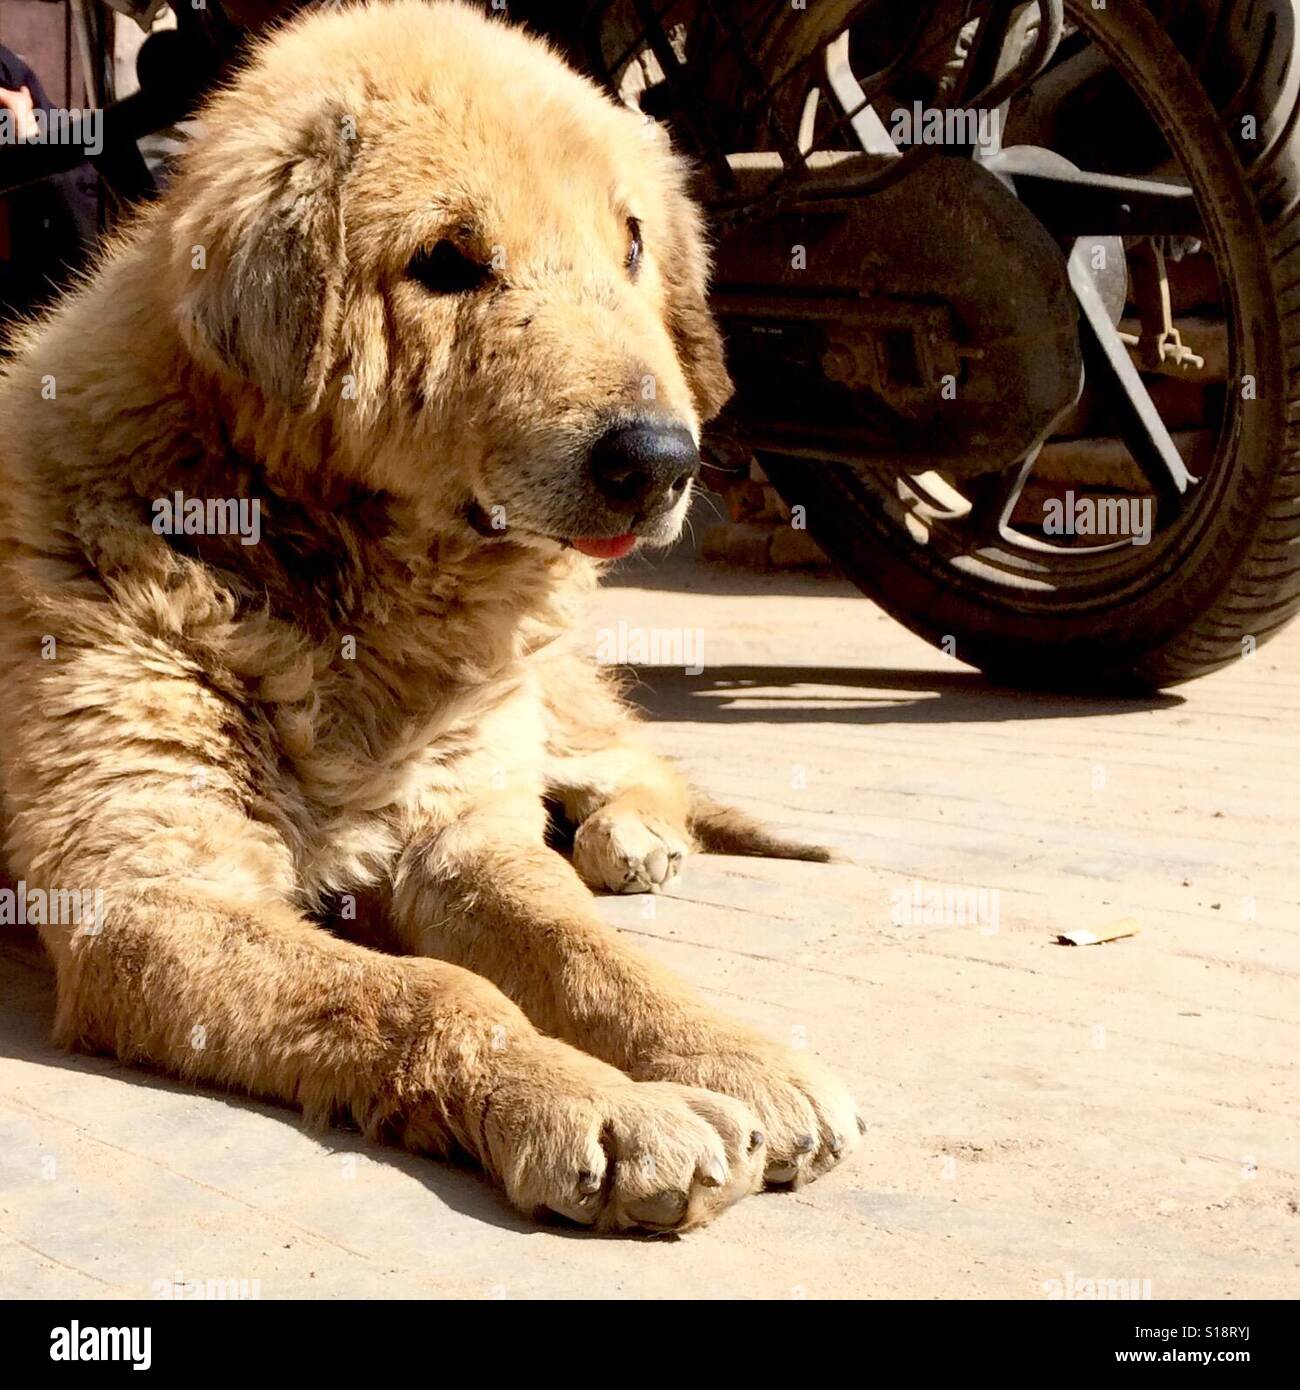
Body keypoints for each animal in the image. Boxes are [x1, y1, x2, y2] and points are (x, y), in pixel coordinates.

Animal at [0, 2, 856, 1239]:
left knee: (638, 765)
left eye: (632, 246)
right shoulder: (151, 894)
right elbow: (426, 994)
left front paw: (725, 1050)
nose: (660, 460)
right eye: (446, 262)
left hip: (548, 709)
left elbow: (581, 947)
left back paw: (629, 836)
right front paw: (596, 1103)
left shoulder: (464, 834)